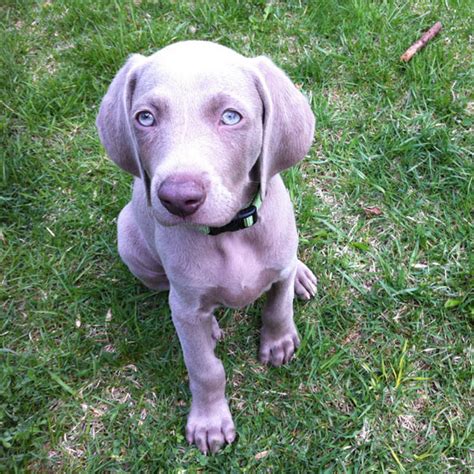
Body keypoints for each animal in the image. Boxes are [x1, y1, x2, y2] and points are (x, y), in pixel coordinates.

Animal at [96, 39, 316, 452]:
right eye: (145, 118)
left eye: (230, 117)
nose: (178, 198)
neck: (229, 233)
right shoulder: (185, 305)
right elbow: (205, 368)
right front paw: (210, 422)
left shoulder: (278, 266)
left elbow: (278, 306)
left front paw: (278, 342)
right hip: (129, 241)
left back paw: (302, 276)